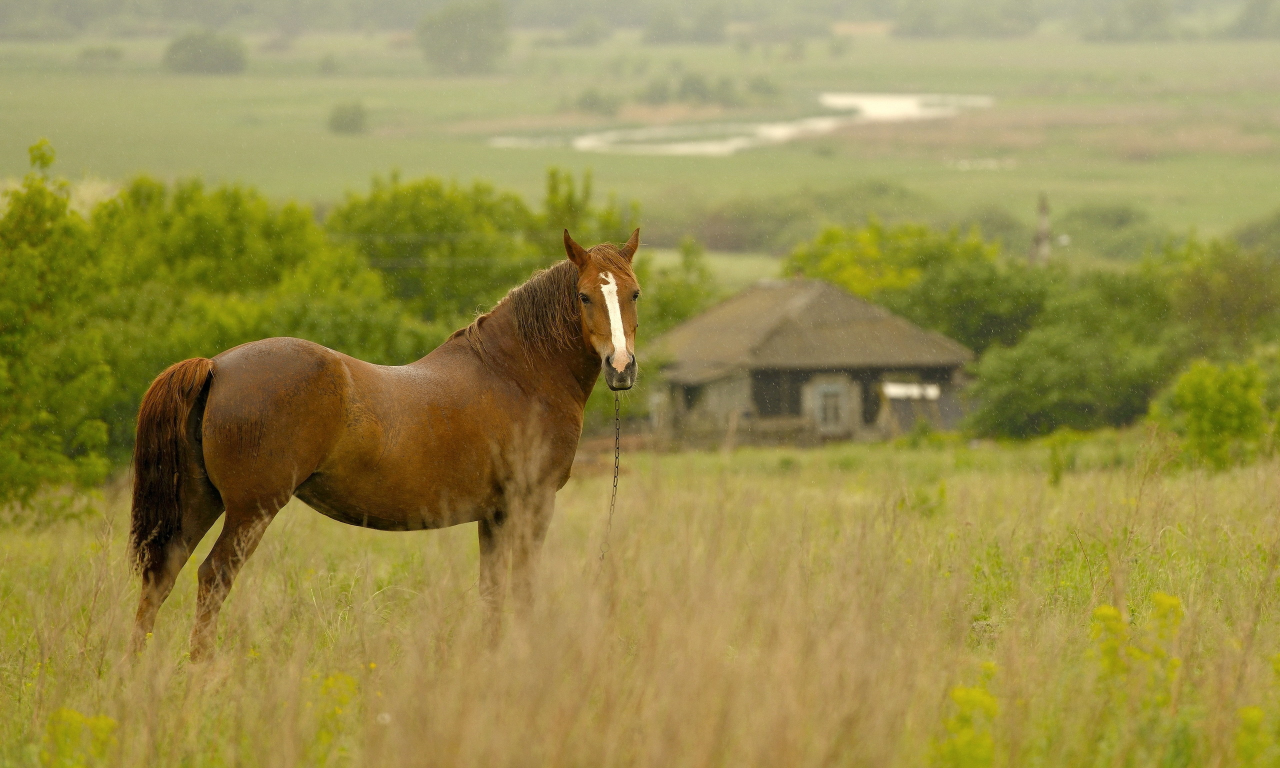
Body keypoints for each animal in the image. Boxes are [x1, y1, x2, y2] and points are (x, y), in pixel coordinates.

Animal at [129, 227, 640, 660]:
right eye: (584, 295)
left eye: (633, 293)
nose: (621, 367)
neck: (517, 373)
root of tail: (216, 366)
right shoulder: (531, 503)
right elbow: (523, 588)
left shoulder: (494, 514)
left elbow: (492, 591)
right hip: (250, 511)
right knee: (213, 577)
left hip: (200, 501)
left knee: (161, 577)